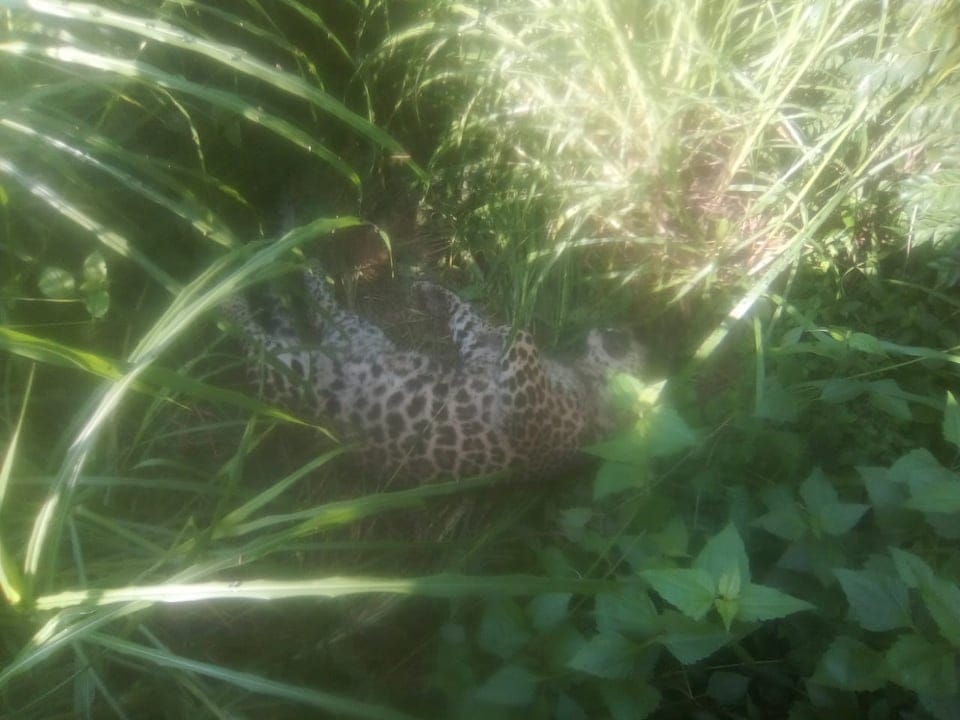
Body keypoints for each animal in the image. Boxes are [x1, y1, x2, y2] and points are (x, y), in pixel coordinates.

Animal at [223, 267, 644, 482]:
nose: (624, 327)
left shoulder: (527, 409)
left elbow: (520, 335)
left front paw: (505, 323)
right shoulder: (482, 356)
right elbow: (473, 322)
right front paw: (433, 292)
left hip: (291, 369)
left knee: (250, 339)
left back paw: (228, 294)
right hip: (354, 331)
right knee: (318, 305)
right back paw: (299, 265)